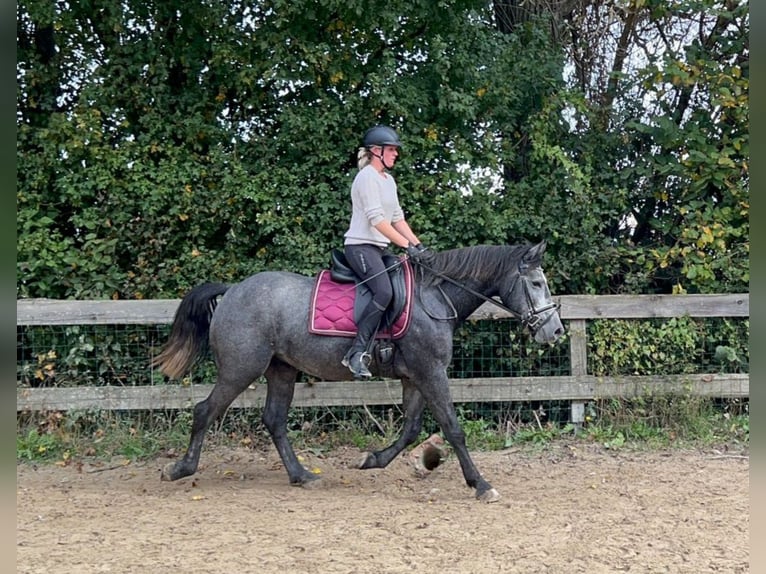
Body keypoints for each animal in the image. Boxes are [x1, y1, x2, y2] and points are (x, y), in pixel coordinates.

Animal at [154, 241, 564, 502]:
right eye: (537, 283)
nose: (555, 331)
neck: (435, 297)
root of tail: (234, 289)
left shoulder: (416, 376)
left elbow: (412, 429)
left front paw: (372, 460)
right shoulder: (431, 371)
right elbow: (453, 428)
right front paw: (480, 484)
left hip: (281, 369)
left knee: (274, 420)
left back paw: (302, 476)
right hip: (241, 368)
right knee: (206, 411)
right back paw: (181, 469)